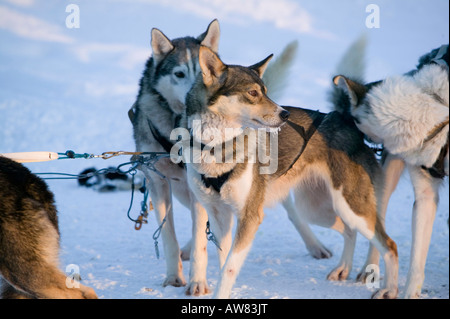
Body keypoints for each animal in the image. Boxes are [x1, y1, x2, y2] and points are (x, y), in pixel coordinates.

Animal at [130, 20, 330, 296]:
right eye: (179, 74)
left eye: (263, 91)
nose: (284, 114)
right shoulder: (160, 184)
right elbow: (171, 236)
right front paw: (174, 277)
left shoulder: (208, 197)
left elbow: (206, 243)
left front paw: (197, 281)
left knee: (290, 209)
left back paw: (315, 245)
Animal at [183, 47, 398, 300]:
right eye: (253, 92)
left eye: (266, 92)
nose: (285, 114)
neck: (216, 147)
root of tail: (346, 120)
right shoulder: (219, 215)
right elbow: (223, 263)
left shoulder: (249, 217)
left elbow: (229, 268)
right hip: (314, 209)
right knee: (349, 230)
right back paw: (342, 269)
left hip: (352, 206)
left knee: (389, 246)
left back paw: (390, 289)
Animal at [332, 43, 448, 298]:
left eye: (353, 120)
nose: (338, 122)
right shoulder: (425, 196)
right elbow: (416, 260)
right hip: (386, 179)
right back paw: (370, 270)